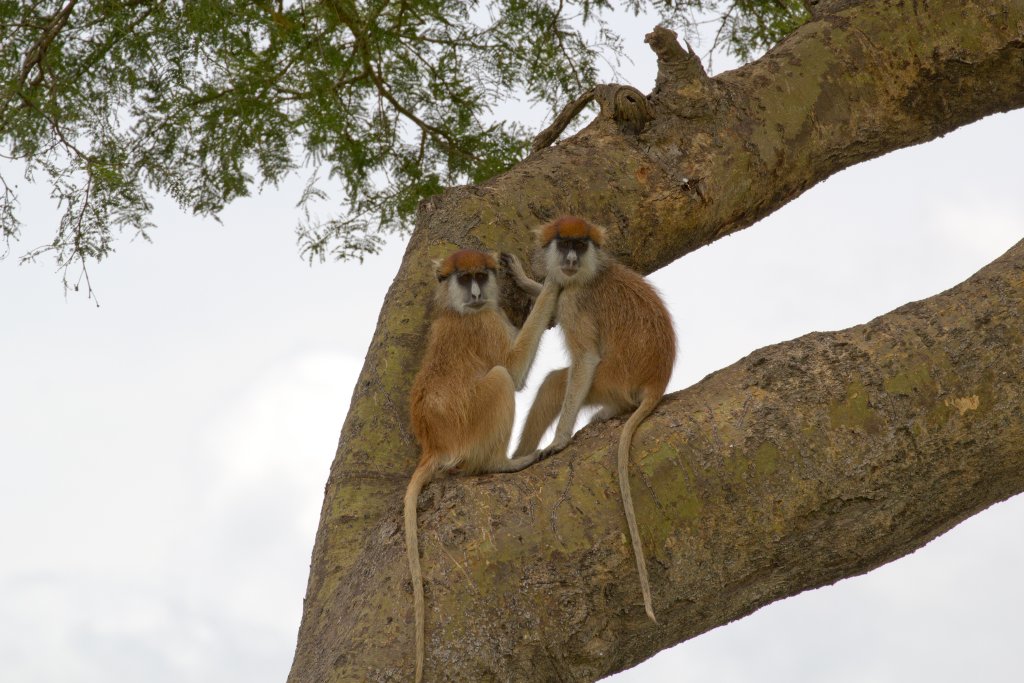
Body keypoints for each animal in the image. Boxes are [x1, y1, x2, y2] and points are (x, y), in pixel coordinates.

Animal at [405, 248, 561, 683]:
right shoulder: (485, 323)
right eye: (464, 279)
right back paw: (501, 464)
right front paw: (549, 281)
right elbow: (515, 369)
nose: (476, 293)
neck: (458, 309)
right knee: (501, 378)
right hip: (473, 429)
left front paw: (526, 279)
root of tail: (435, 444)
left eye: (480, 276)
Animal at [505, 216, 676, 623]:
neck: (590, 273)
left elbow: (584, 358)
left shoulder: (577, 303)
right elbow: (552, 296)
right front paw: (525, 277)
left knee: (556, 383)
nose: (569, 258)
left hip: (613, 379)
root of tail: (657, 379)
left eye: (580, 245)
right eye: (564, 243)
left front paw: (559, 441)